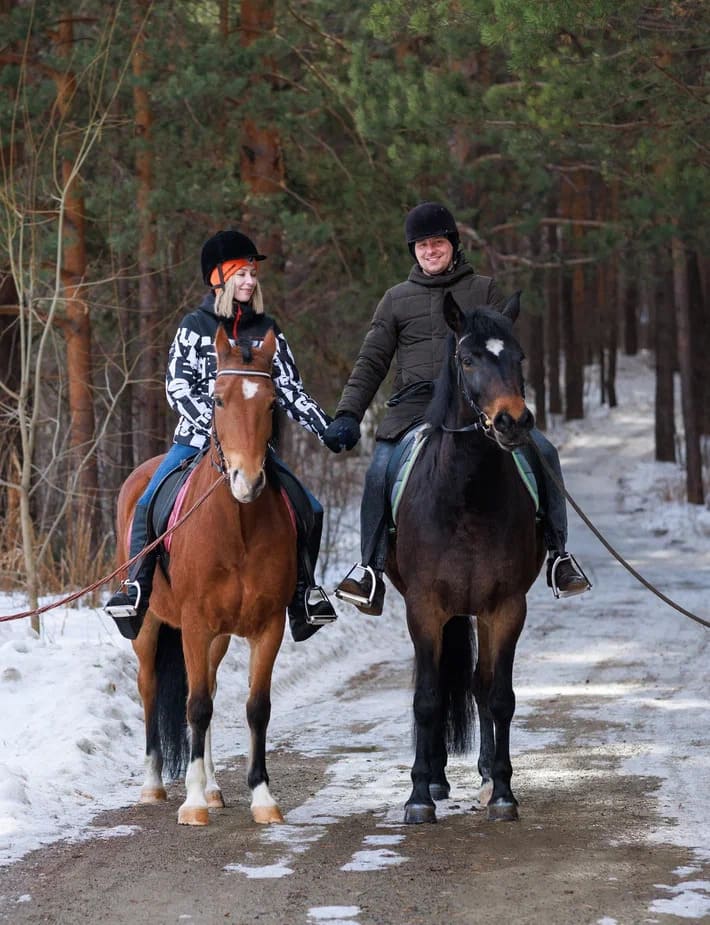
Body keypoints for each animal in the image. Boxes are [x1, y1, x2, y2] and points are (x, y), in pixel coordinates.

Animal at [117, 326, 294, 824]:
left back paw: (214, 788)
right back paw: (154, 785)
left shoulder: (268, 626)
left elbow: (256, 708)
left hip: (217, 638)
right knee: (152, 690)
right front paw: (192, 804)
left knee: (211, 690)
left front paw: (262, 799)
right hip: (150, 626)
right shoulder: (194, 624)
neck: (237, 527)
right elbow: (194, 706)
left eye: (272, 403)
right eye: (216, 398)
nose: (247, 481)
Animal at [390, 290, 544, 824]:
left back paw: (481, 777)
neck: (466, 497)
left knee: (478, 685)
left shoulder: (507, 606)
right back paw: (436, 780)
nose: (513, 422)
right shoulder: (424, 607)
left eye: (519, 357)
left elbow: (498, 696)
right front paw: (418, 796)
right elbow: (426, 698)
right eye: (468, 359)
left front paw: (502, 792)